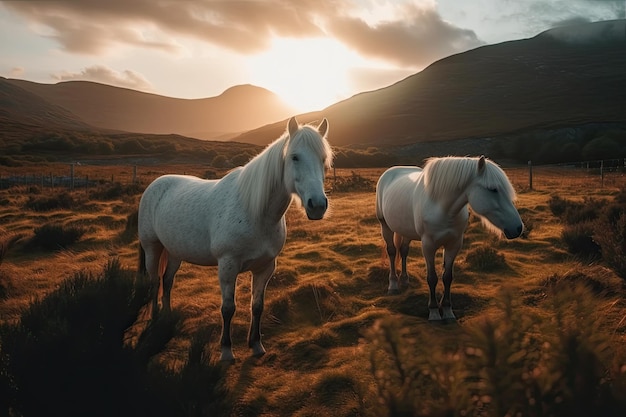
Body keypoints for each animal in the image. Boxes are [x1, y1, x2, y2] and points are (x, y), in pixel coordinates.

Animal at [136, 115, 332, 360]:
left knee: (167, 280)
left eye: (323, 159)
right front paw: (226, 350)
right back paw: (154, 318)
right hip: (152, 247)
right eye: (295, 157)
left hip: (174, 252)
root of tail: (155, 184)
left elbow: (257, 306)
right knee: (154, 281)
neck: (255, 212)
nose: (318, 205)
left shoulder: (266, 267)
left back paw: (167, 316)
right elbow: (228, 308)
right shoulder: (228, 266)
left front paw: (256, 344)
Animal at [376, 156, 520, 322]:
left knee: (404, 251)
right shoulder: (428, 246)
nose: (518, 228)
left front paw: (447, 310)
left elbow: (447, 277)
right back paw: (393, 285)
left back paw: (405, 280)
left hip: (405, 230)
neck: (442, 208)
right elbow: (432, 278)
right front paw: (433, 312)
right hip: (385, 226)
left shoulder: (454, 244)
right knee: (392, 252)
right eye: (493, 189)